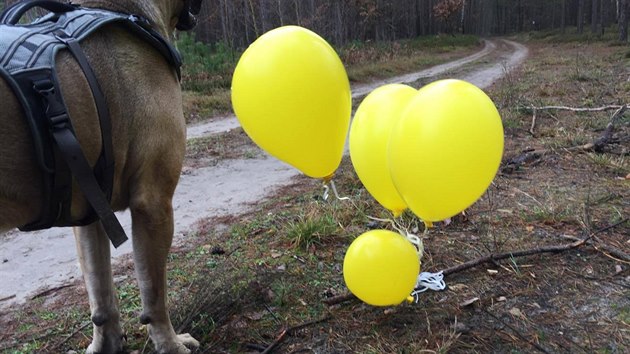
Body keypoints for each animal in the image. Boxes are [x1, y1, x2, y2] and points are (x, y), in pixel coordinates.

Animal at [0, 0, 202, 354]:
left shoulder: (91, 214)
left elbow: (101, 295)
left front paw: (105, 344)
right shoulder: (154, 202)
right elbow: (154, 295)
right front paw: (172, 344)